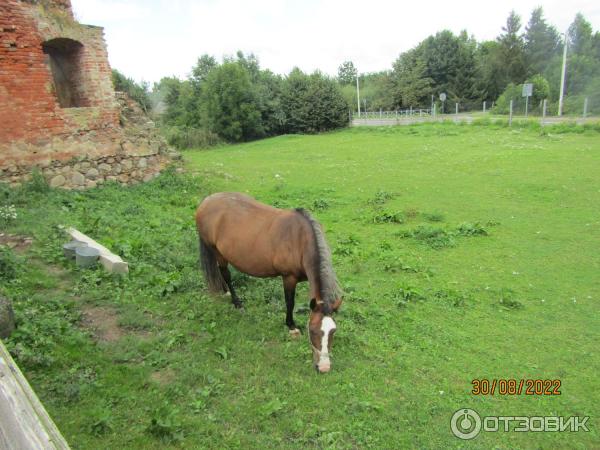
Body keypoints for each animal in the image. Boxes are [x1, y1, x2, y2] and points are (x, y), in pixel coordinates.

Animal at [196, 193, 342, 372]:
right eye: (313, 331)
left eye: (333, 331)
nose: (324, 367)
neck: (299, 240)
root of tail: (206, 202)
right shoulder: (288, 277)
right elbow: (290, 302)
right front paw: (291, 326)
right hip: (217, 252)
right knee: (226, 274)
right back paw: (237, 302)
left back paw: (225, 291)